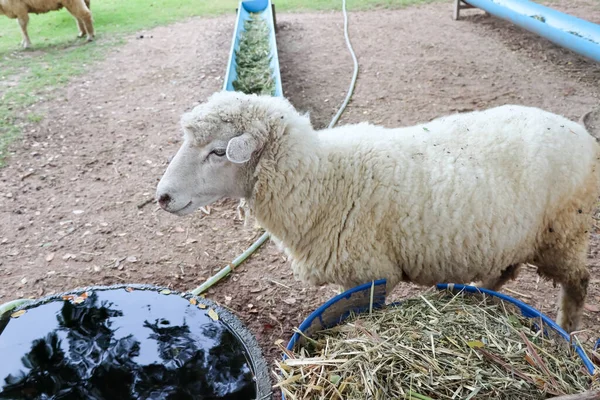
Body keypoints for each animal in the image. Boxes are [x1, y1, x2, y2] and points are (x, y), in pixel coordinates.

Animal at [157, 92, 600, 332]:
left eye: (218, 152)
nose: (162, 197)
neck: (324, 178)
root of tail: (581, 132)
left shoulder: (370, 274)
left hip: (565, 232)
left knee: (579, 281)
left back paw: (567, 329)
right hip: (511, 236)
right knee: (504, 272)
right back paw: (476, 294)